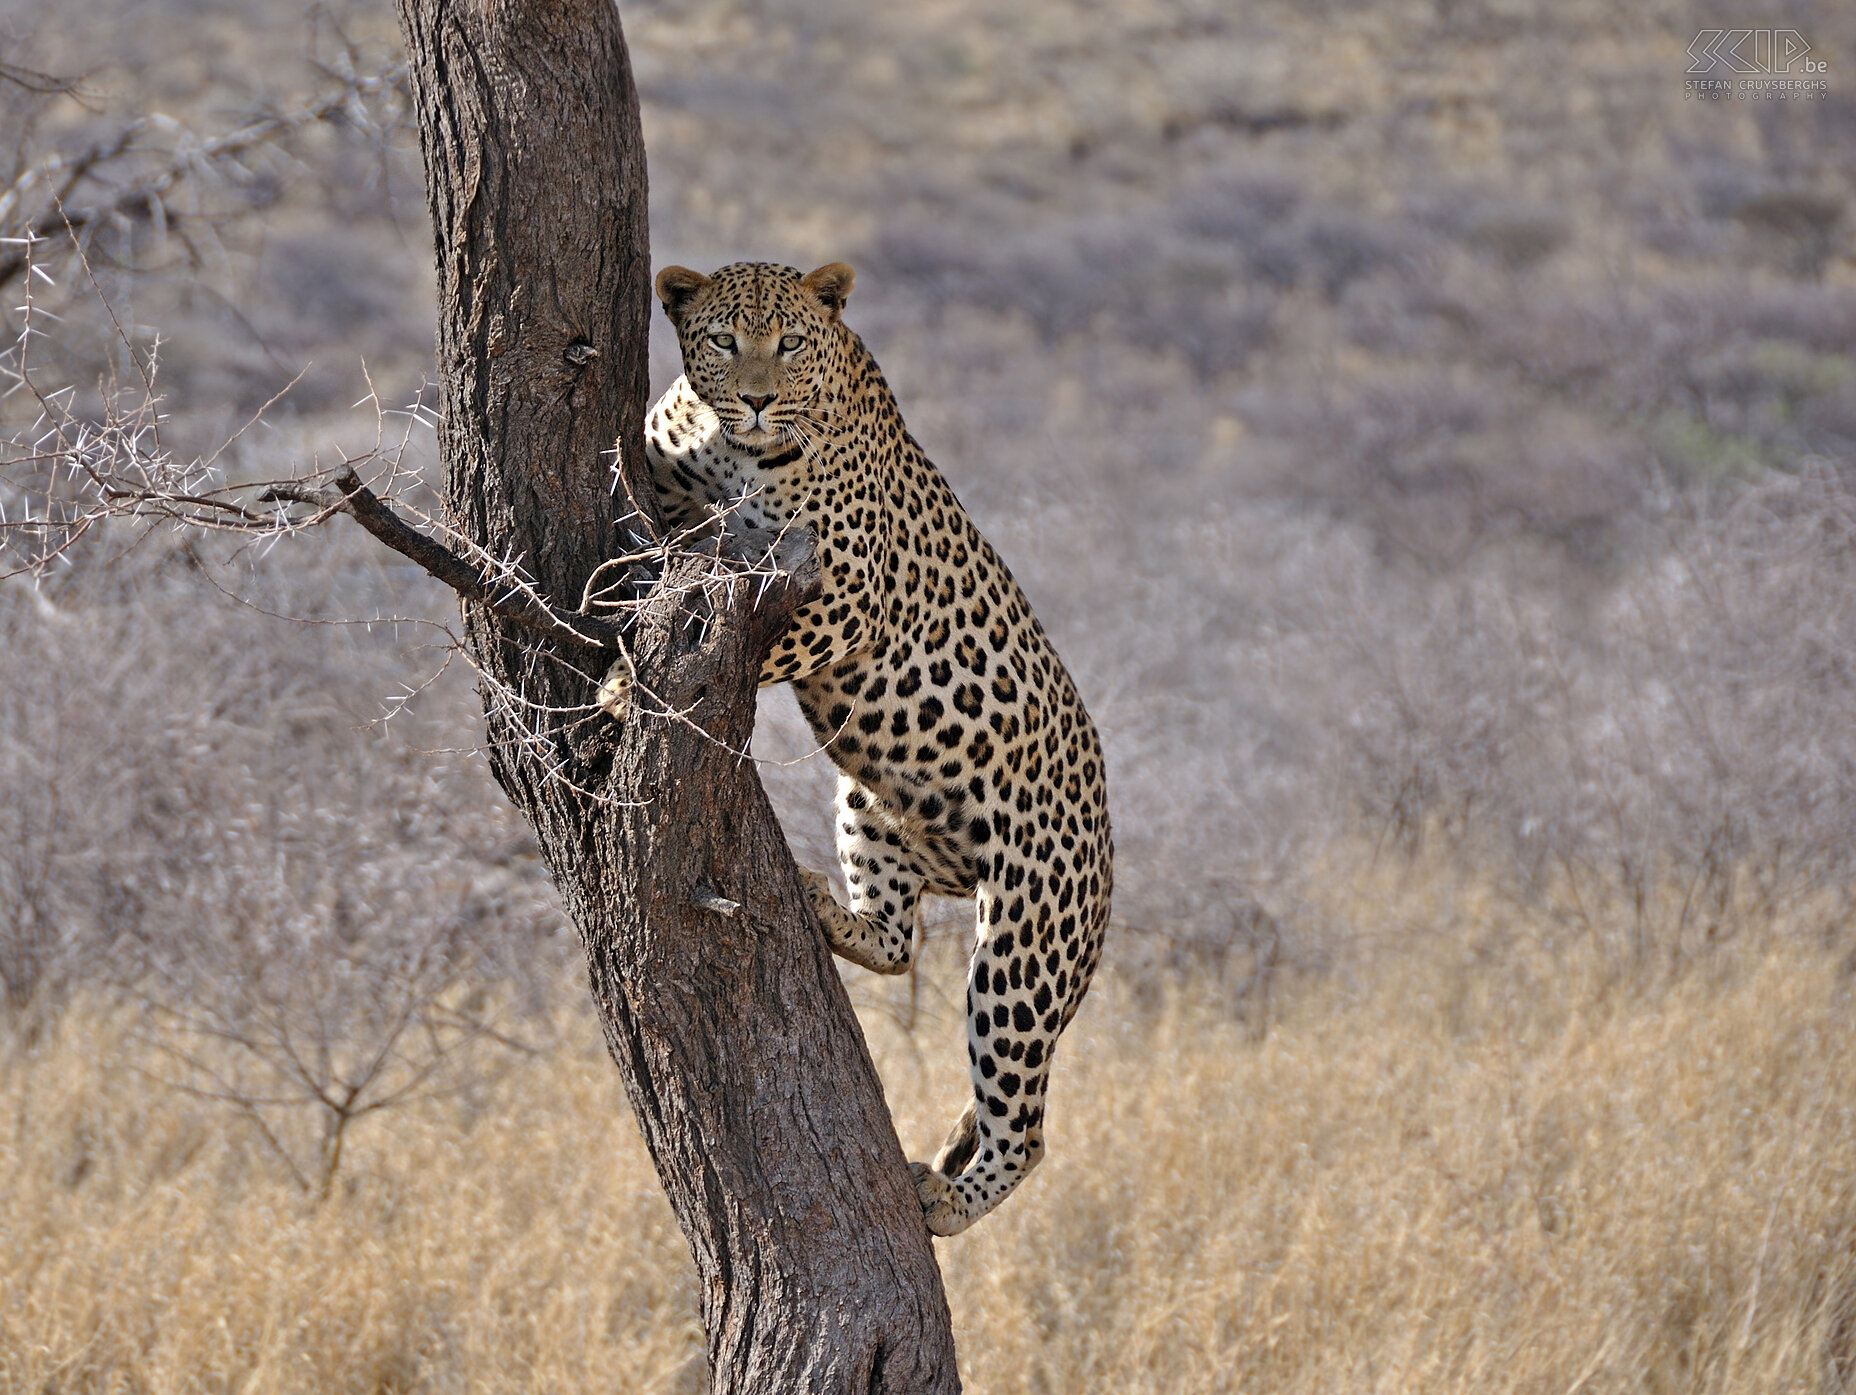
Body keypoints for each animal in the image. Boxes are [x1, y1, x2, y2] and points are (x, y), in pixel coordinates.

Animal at [601, 259, 1106, 1231]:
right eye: (723, 340)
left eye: (792, 342)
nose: (759, 399)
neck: (743, 454)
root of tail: (1109, 879)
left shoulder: (844, 593)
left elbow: (765, 645)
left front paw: (620, 686)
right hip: (872, 803)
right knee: (899, 938)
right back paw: (830, 909)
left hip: (1023, 943)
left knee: (1025, 1124)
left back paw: (947, 1198)